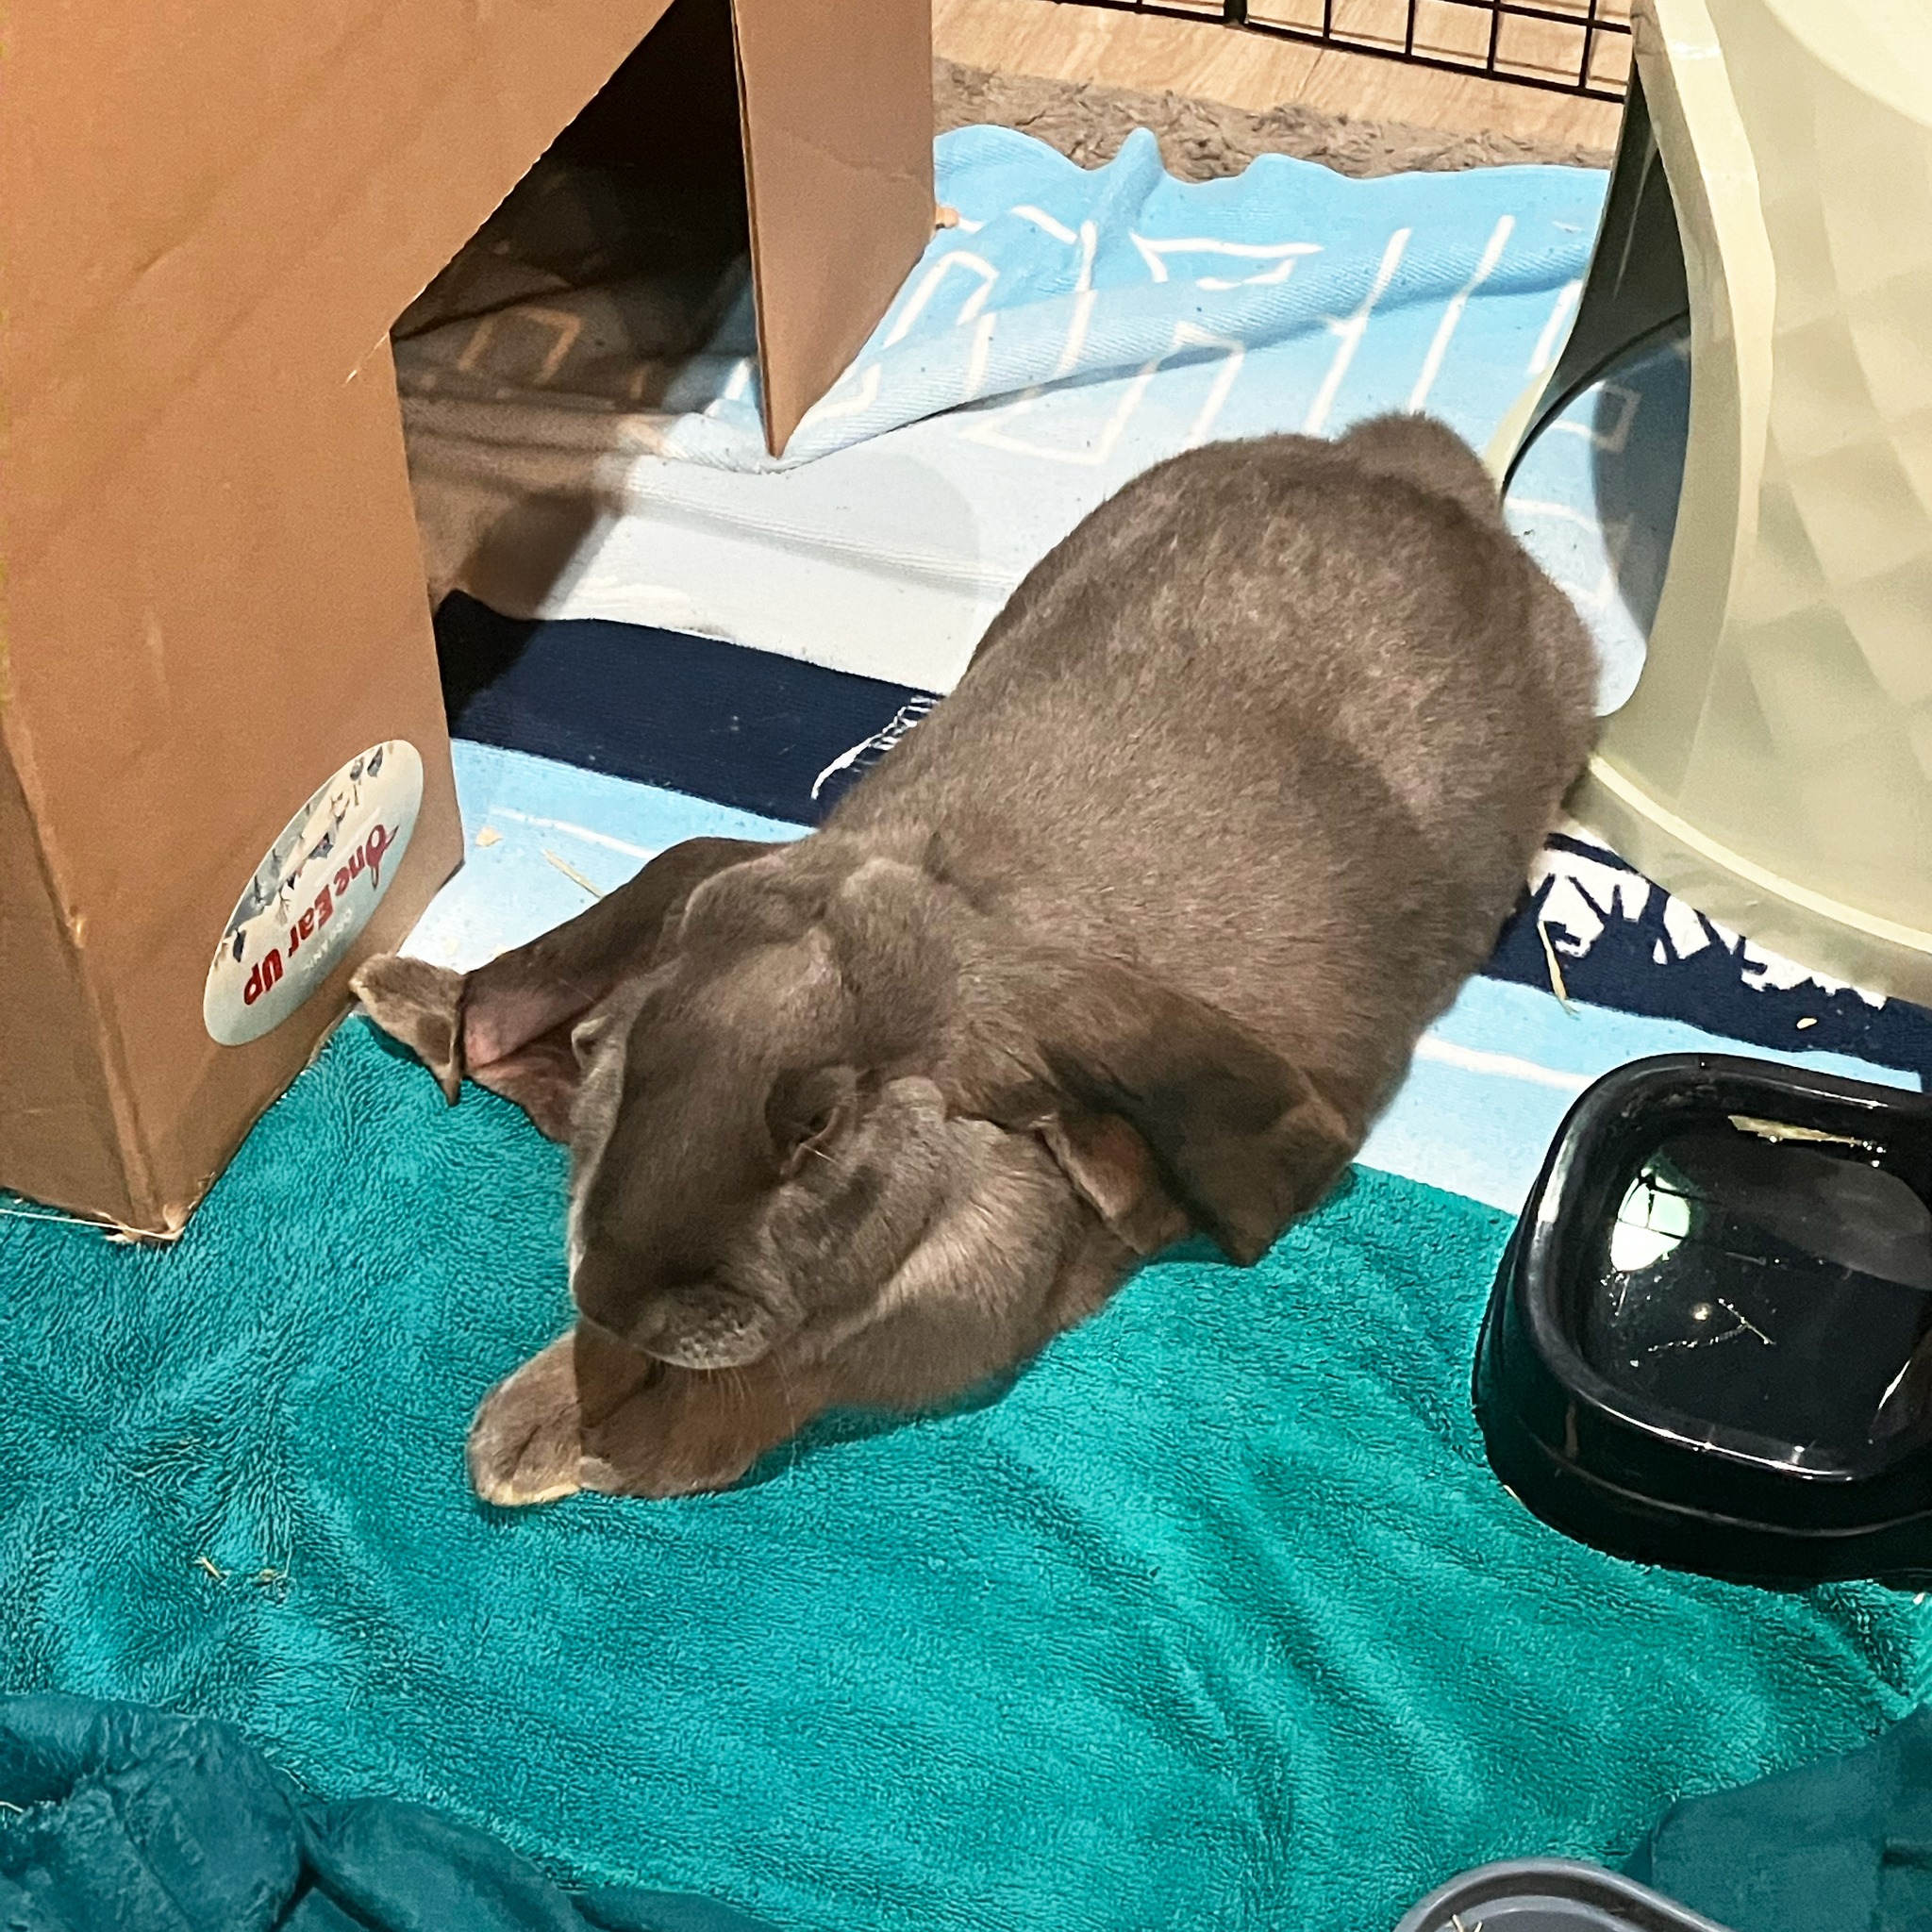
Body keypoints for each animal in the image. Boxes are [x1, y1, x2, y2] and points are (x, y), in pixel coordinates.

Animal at [355, 413, 1599, 1504]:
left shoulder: (933, 1317)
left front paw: (550, 1447)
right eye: (615, 1048)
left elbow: (767, 1386)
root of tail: (1424, 478)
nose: (616, 1294)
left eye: (818, 1129)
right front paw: (548, 1411)